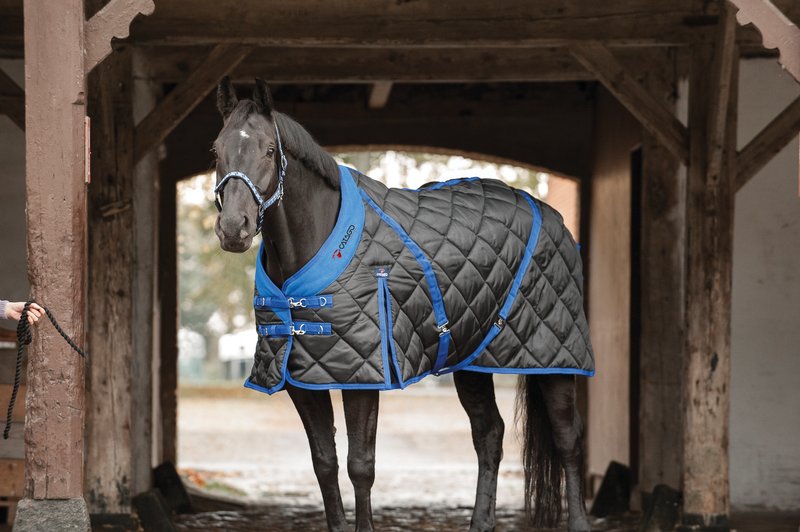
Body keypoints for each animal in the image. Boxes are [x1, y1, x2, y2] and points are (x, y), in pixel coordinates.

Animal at [210, 77, 593, 532]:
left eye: (269, 149)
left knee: (567, 439)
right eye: (216, 150)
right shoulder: (300, 378)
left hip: (553, 361)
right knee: (490, 435)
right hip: (472, 361)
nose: (233, 228)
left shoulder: (363, 375)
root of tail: (552, 216)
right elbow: (324, 463)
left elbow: (360, 465)